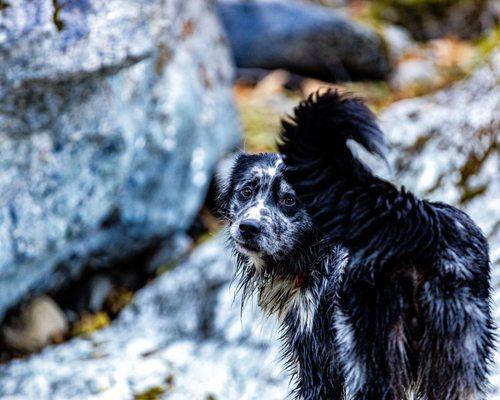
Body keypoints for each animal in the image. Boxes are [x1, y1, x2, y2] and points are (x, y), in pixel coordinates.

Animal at [217, 90, 494, 400]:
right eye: (246, 191)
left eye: (289, 200)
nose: (248, 228)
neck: (318, 254)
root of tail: (420, 223)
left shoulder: (318, 367)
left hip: (367, 363)